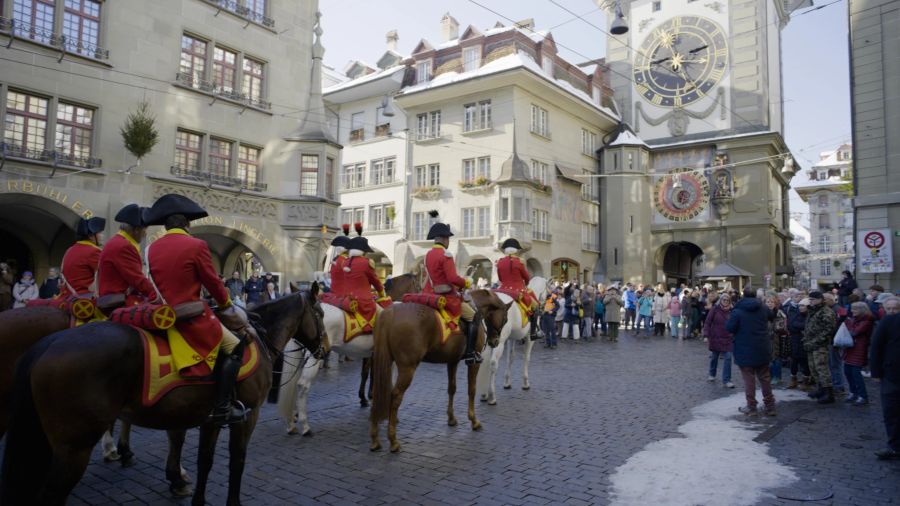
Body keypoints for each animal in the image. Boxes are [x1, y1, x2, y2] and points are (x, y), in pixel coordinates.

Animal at [0, 284, 326, 506]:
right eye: (321, 313)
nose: (324, 348)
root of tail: (48, 344)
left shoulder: (209, 419)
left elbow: (205, 460)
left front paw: (193, 495)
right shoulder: (247, 417)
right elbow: (236, 461)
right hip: (72, 448)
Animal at [276, 272, 420, 434]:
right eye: (418, 285)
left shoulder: (370, 354)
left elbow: (368, 374)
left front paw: (366, 398)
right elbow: (378, 377)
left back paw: (292, 419)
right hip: (314, 356)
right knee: (302, 385)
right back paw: (304, 424)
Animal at [368, 290, 510, 452]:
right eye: (505, 319)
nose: (495, 342)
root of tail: (390, 312)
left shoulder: (452, 361)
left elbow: (452, 388)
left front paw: (451, 418)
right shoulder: (473, 364)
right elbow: (471, 390)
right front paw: (474, 420)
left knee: (378, 392)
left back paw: (375, 439)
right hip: (407, 368)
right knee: (396, 396)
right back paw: (393, 440)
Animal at [472, 274, 548, 406]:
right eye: (548, 292)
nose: (543, 308)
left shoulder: (511, 338)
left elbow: (510, 357)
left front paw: (507, 382)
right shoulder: (529, 338)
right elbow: (527, 358)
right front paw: (525, 383)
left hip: (489, 342)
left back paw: (484, 394)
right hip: (498, 342)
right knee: (493, 364)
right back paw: (491, 396)